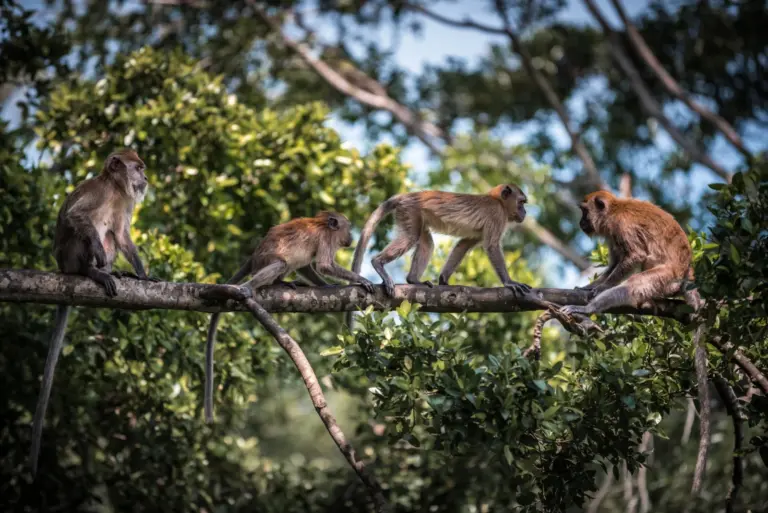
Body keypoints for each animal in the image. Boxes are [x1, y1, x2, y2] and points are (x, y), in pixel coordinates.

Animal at [30, 149, 155, 477]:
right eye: (138, 168)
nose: (145, 178)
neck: (114, 189)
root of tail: (63, 269)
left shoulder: (124, 203)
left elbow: (122, 236)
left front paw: (143, 275)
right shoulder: (99, 194)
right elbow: (75, 217)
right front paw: (96, 254)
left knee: (110, 234)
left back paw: (115, 272)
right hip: (67, 258)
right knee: (86, 232)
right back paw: (91, 271)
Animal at [204, 211, 375, 423]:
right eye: (348, 227)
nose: (351, 236)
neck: (324, 225)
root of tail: (253, 257)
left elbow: (308, 266)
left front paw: (325, 285)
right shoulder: (327, 239)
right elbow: (324, 265)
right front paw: (361, 279)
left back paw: (281, 282)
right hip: (265, 261)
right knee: (280, 263)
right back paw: (250, 287)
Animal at [350, 185, 532, 299]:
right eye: (521, 202)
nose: (525, 212)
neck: (497, 201)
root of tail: (409, 195)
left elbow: (463, 244)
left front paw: (444, 279)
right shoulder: (497, 215)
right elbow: (492, 246)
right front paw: (509, 282)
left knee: (427, 243)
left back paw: (413, 280)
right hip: (410, 211)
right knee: (410, 238)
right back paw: (378, 263)